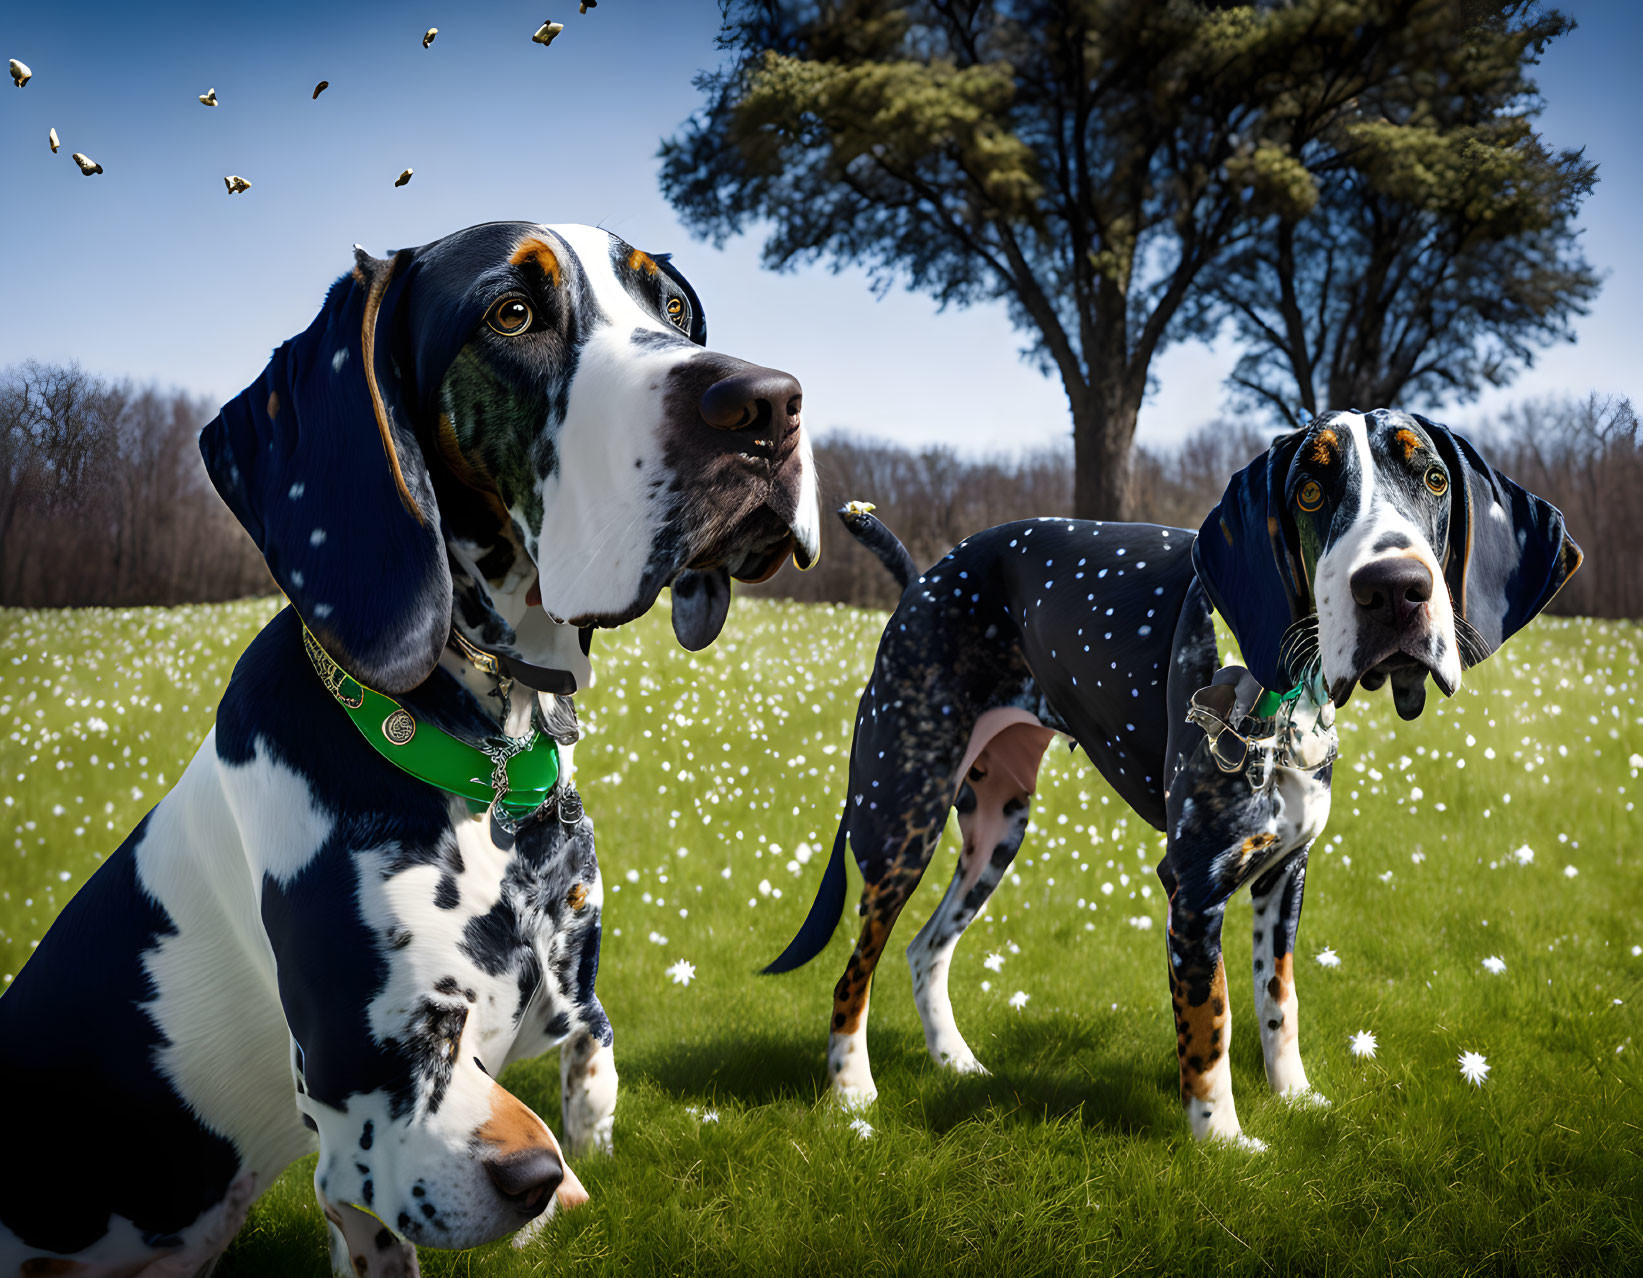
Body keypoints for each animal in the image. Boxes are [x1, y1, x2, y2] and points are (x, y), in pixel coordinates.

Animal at [0, 223, 821, 1268]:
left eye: (672, 308)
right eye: (510, 313)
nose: (766, 402)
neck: (496, 768)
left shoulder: (563, 983)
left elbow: (590, 1059)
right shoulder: (369, 1131)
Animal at [768, 415, 1577, 1143]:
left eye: (1434, 480)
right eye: (1311, 492)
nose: (1396, 588)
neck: (1285, 702)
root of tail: (925, 578)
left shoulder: (1284, 877)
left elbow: (1278, 1002)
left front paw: (1294, 1099)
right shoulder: (1193, 890)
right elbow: (1210, 1025)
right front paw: (1221, 1141)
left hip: (996, 831)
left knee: (924, 949)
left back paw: (955, 1063)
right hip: (901, 820)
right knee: (855, 970)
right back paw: (851, 1093)